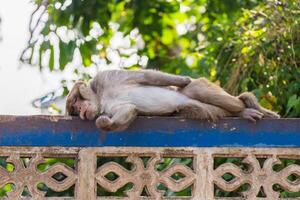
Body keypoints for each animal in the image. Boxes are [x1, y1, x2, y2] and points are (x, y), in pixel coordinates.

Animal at [65, 69, 278, 131]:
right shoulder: (106, 107)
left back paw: (245, 106)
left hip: (203, 86)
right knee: (192, 107)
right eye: (74, 110)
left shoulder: (108, 77)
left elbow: (147, 76)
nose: (80, 112)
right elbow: (128, 111)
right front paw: (104, 123)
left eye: (75, 103)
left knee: (199, 91)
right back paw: (242, 112)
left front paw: (183, 79)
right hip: (207, 108)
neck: (102, 96)